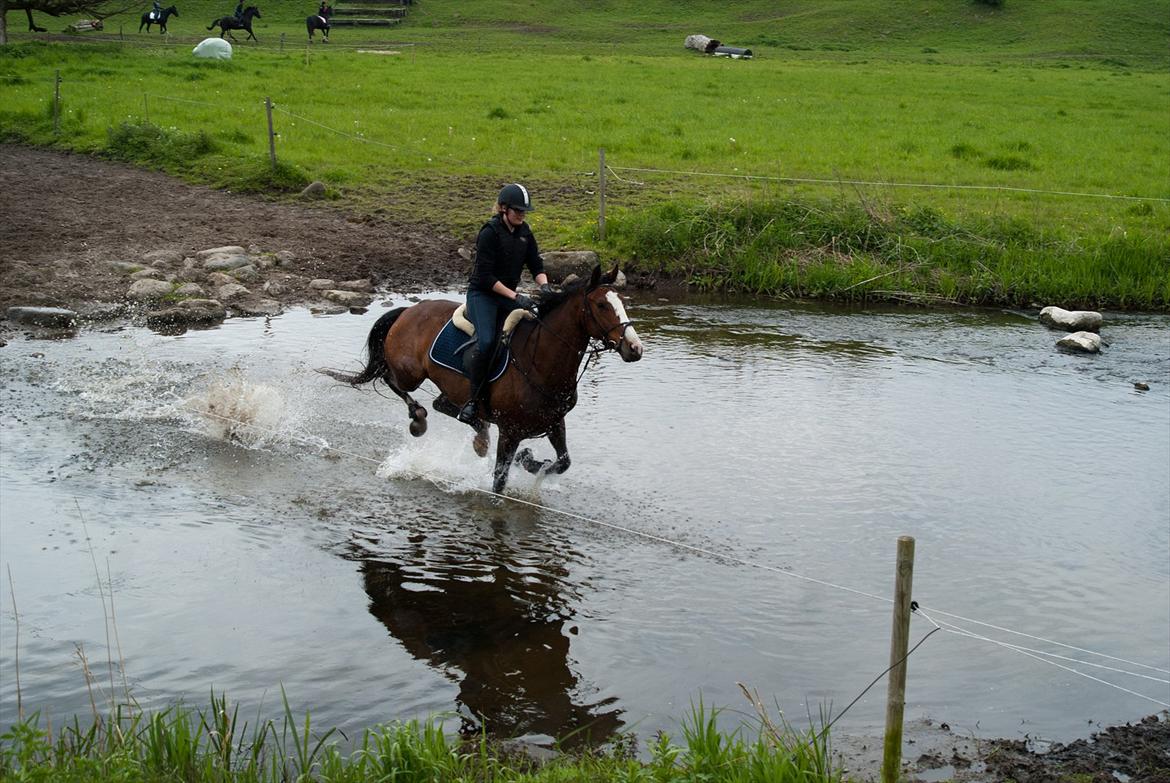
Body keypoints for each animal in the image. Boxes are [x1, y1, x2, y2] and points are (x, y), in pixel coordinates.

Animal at [325, 265, 645, 491]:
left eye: (621, 302)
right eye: (602, 305)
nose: (634, 348)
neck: (540, 361)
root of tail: (409, 310)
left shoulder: (555, 423)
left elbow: (563, 462)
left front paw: (529, 461)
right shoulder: (511, 431)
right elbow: (499, 481)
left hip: (450, 387)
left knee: (445, 404)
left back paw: (478, 434)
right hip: (409, 373)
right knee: (392, 381)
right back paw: (419, 419)